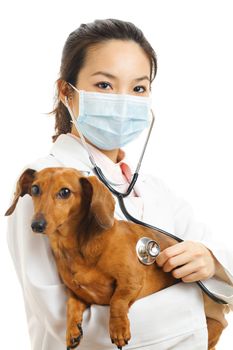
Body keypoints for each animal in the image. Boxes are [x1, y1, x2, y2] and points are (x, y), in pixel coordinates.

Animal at [5, 167, 227, 350]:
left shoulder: (132, 281)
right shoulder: (78, 295)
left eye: (65, 192)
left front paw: (118, 329)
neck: (78, 248)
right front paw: (72, 331)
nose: (37, 225)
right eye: (35, 189)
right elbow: (71, 305)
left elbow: (117, 301)